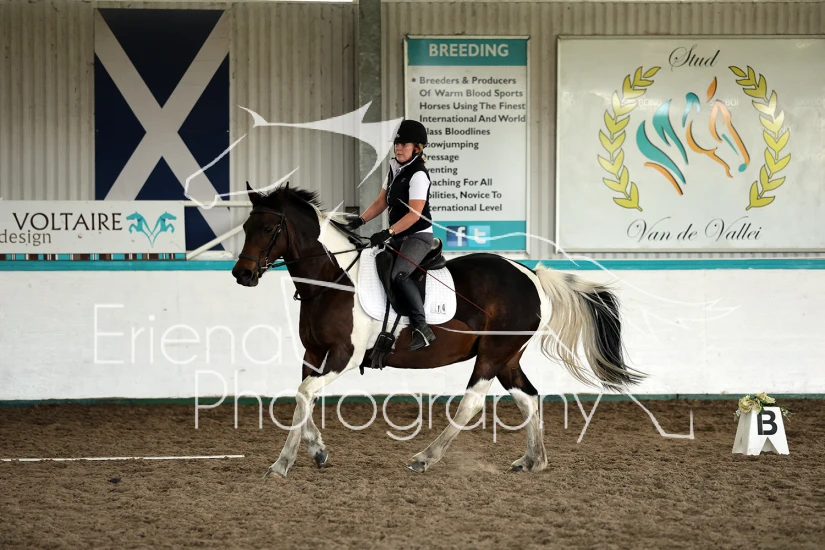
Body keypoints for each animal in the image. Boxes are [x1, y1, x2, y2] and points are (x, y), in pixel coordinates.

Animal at [231, 182, 644, 478]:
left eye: (268, 227)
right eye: (247, 226)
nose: (242, 274)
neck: (334, 279)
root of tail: (531, 274)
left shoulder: (344, 356)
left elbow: (304, 394)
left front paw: (282, 464)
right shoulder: (314, 355)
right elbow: (304, 396)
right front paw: (315, 451)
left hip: (492, 354)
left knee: (473, 402)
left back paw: (425, 457)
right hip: (508, 357)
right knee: (528, 396)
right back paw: (532, 461)